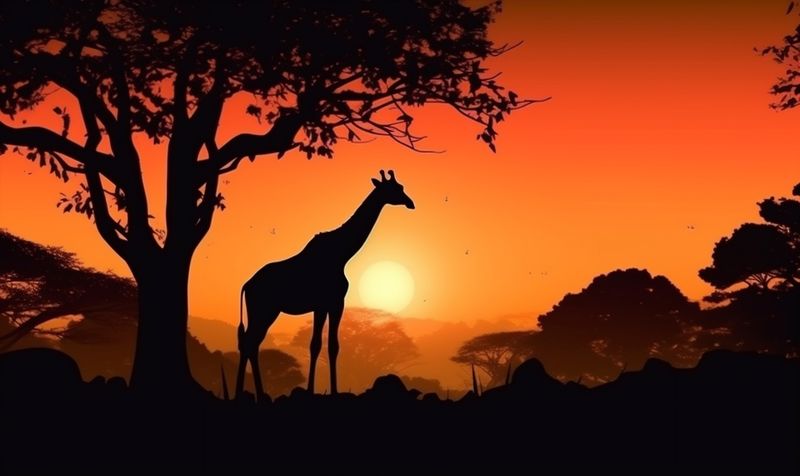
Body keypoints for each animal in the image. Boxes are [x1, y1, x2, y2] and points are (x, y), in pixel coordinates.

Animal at [236, 170, 415, 400]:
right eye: (396, 189)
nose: (410, 203)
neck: (342, 254)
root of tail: (247, 285)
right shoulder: (333, 302)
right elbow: (327, 346)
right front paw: (327, 390)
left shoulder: (324, 305)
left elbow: (321, 345)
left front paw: (318, 389)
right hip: (264, 311)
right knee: (250, 343)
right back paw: (250, 393)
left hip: (262, 312)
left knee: (250, 344)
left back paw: (248, 392)